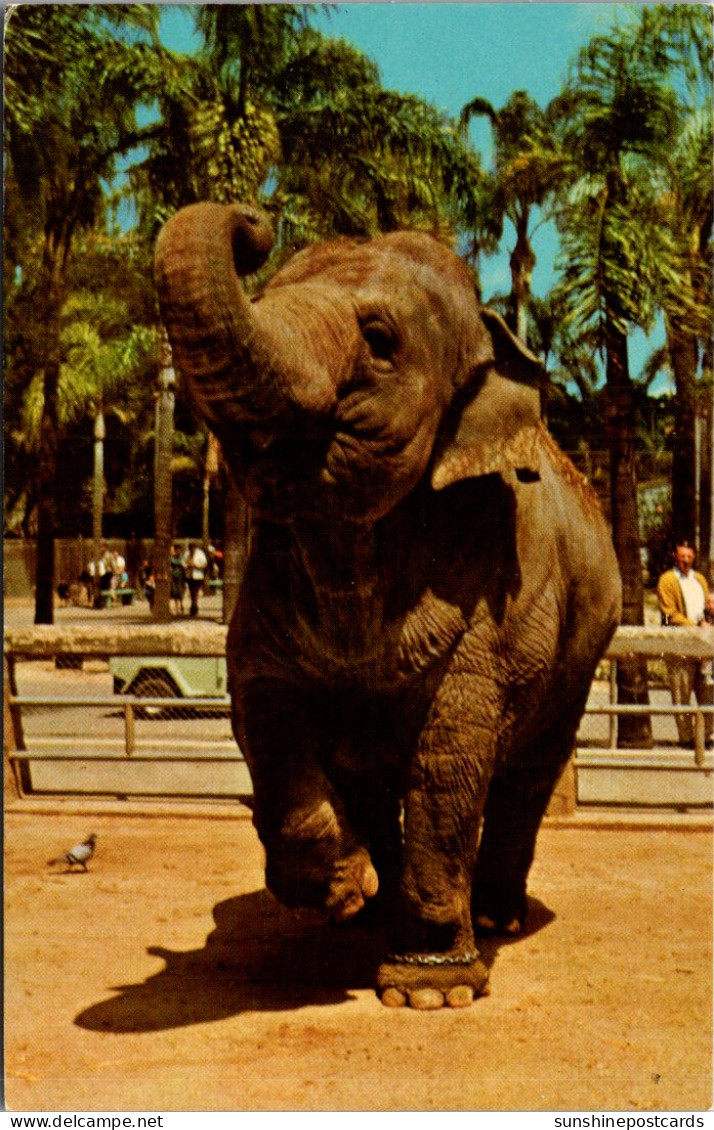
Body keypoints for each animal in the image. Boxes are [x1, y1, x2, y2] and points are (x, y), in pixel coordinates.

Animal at [154, 203, 619, 1017]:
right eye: (264, 291)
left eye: (378, 341)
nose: (254, 223)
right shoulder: (266, 593)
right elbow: (261, 711)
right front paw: (342, 890)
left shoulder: (498, 591)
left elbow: (449, 758)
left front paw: (429, 990)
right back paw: (373, 907)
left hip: (581, 649)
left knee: (527, 772)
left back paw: (494, 916)